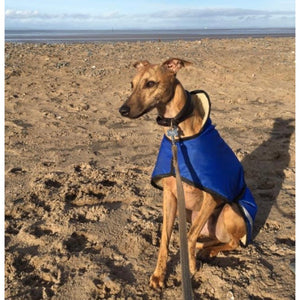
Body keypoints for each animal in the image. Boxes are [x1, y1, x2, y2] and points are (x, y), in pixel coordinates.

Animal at [118, 57, 256, 290]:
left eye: (150, 83)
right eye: (131, 84)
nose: (123, 110)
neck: (177, 133)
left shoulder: (211, 198)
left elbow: (189, 237)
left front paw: (190, 267)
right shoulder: (170, 195)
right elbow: (165, 238)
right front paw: (159, 274)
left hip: (230, 211)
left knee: (233, 242)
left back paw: (208, 251)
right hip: (194, 215)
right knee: (212, 238)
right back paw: (204, 246)